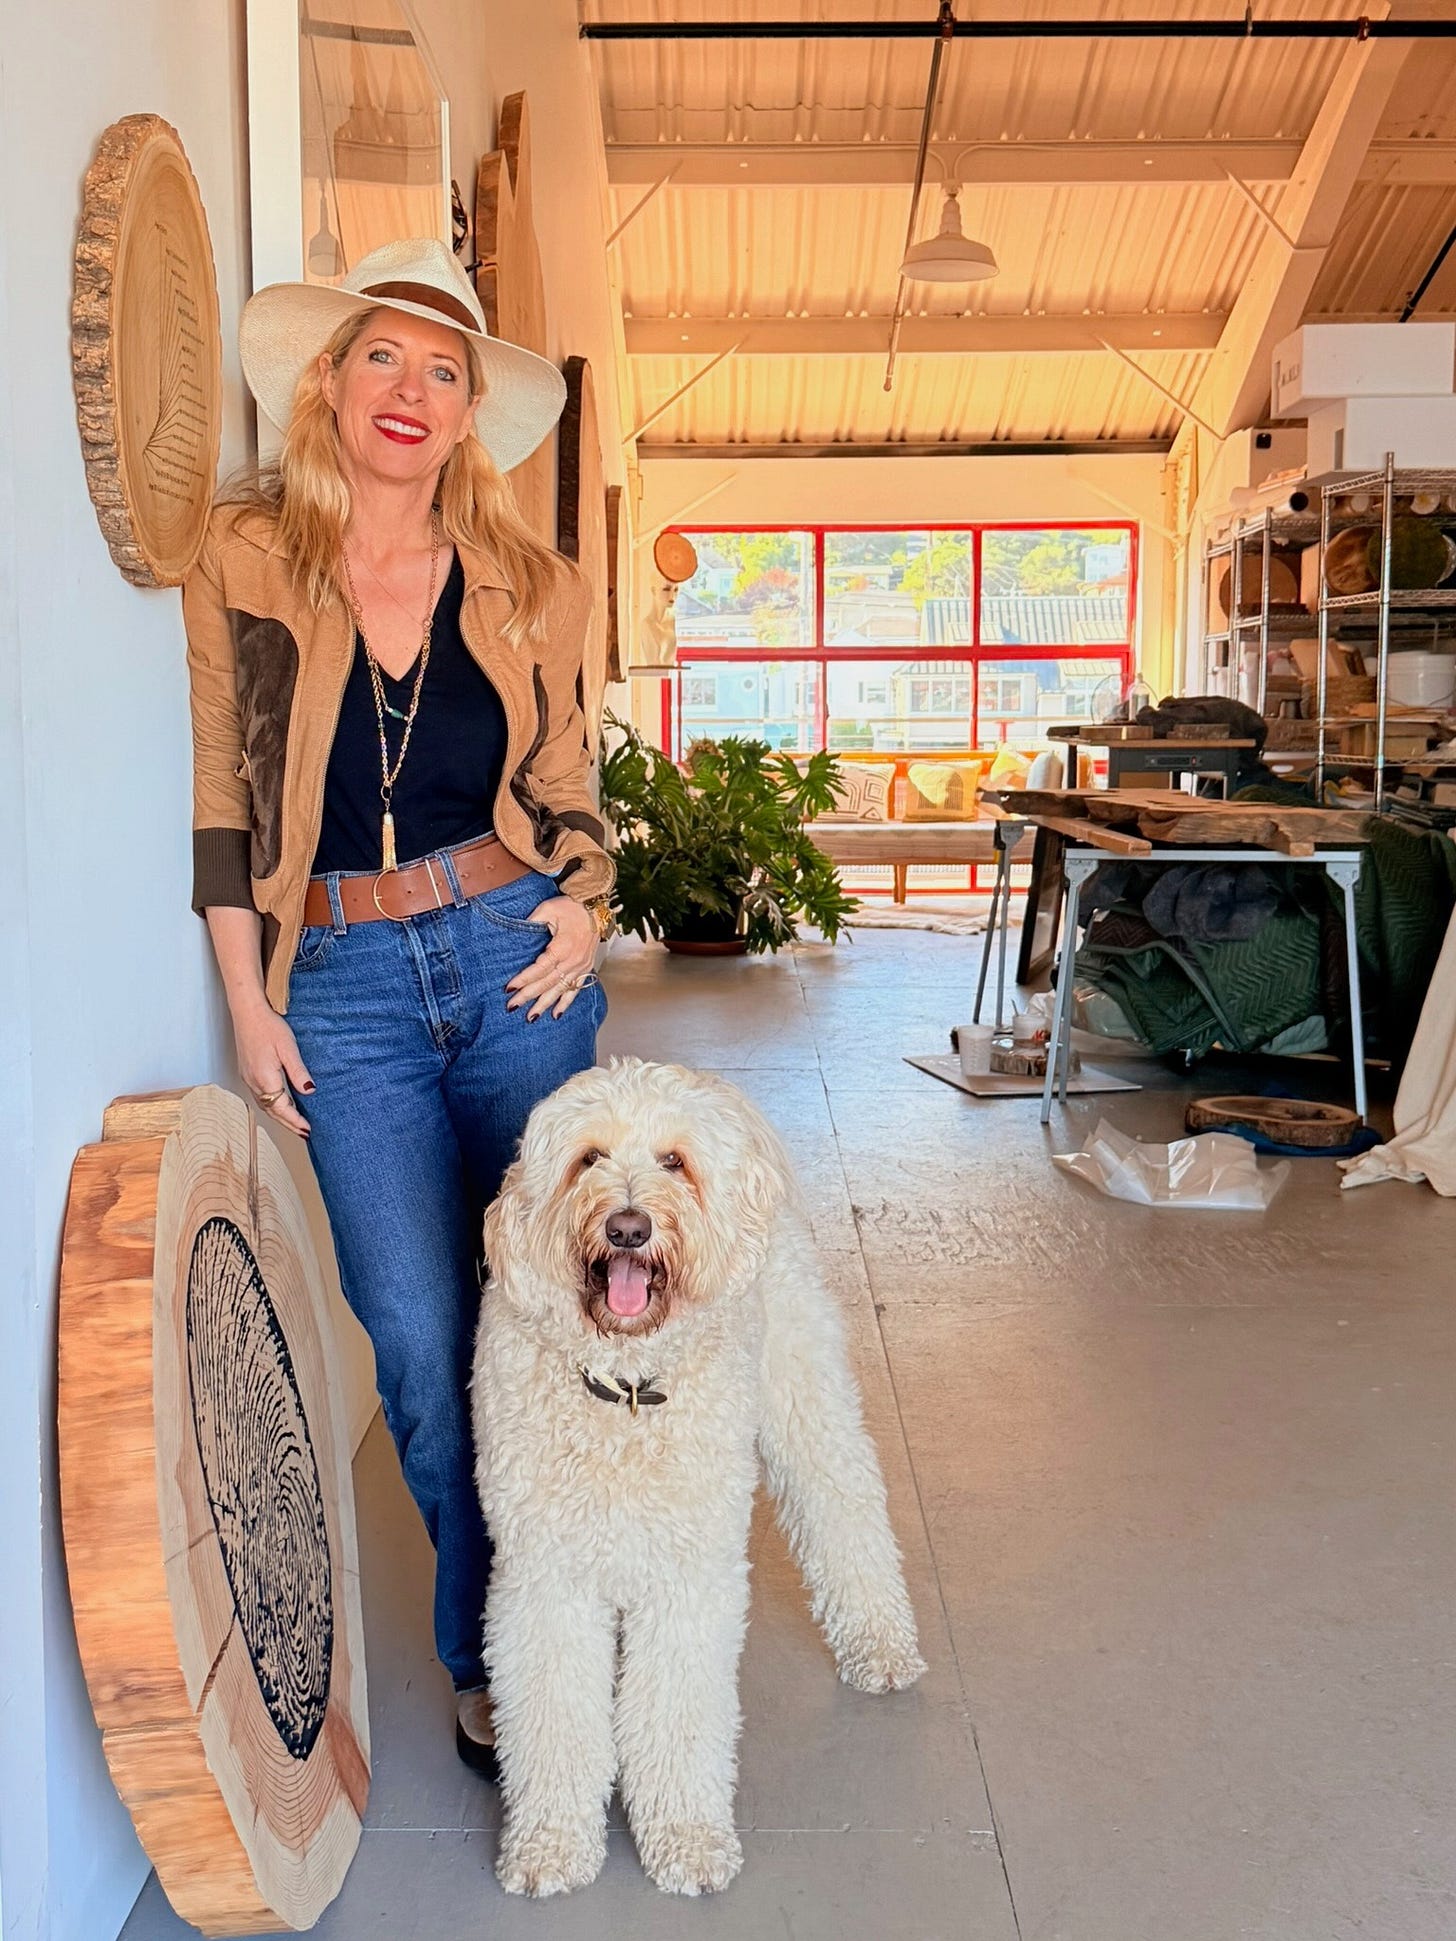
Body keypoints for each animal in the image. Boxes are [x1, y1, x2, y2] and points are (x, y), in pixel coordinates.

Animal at [472, 1056, 925, 1899]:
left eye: (674, 1161)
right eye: (588, 1157)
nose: (628, 1226)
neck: (624, 1392)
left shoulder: (687, 1581)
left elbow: (676, 1718)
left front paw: (686, 1839)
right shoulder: (545, 1581)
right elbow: (554, 1718)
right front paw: (551, 1843)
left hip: (806, 1405)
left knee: (845, 1509)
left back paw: (879, 1646)